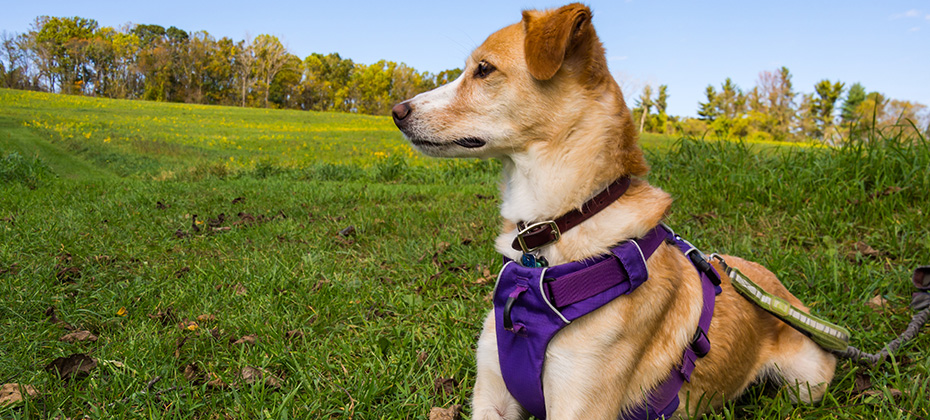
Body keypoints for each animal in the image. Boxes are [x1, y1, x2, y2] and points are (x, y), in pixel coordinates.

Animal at [392, 4, 832, 420]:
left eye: (484, 69)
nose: (397, 111)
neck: (557, 227)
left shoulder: (580, 405)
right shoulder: (492, 395)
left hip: (806, 382)